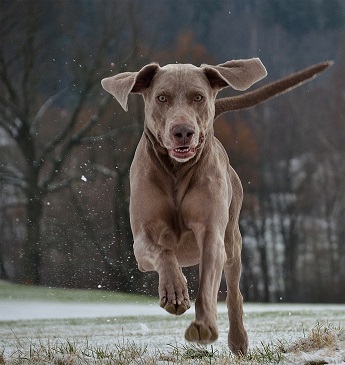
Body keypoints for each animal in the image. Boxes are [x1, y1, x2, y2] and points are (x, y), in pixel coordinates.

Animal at [101, 59, 332, 352]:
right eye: (162, 98)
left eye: (198, 97)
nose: (183, 131)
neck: (176, 171)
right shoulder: (142, 239)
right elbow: (163, 252)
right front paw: (175, 291)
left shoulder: (212, 233)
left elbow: (209, 282)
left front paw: (203, 326)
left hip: (233, 240)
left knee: (234, 292)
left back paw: (238, 339)